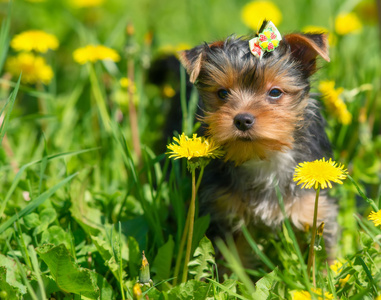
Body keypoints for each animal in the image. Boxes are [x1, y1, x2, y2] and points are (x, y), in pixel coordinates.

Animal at [178, 19, 336, 264]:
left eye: (275, 92)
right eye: (222, 93)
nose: (242, 119)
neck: (262, 156)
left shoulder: (313, 209)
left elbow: (319, 254)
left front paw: (322, 273)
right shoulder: (225, 212)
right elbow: (231, 260)